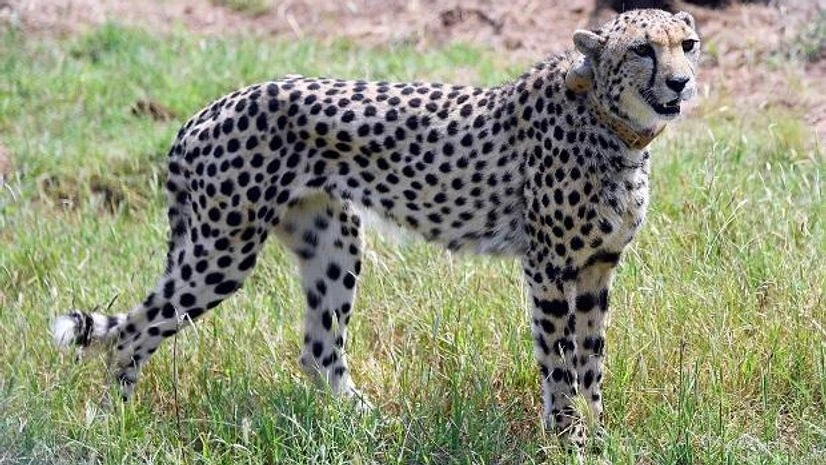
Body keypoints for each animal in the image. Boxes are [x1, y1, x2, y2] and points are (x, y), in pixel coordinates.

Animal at [51, 8, 700, 449]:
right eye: (643, 50)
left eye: (688, 45)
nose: (681, 82)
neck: (612, 124)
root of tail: (206, 110)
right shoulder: (548, 267)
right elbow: (560, 360)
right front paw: (569, 439)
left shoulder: (596, 267)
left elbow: (591, 360)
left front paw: (599, 432)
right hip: (222, 251)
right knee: (131, 331)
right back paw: (116, 423)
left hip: (333, 241)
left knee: (318, 350)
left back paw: (370, 425)